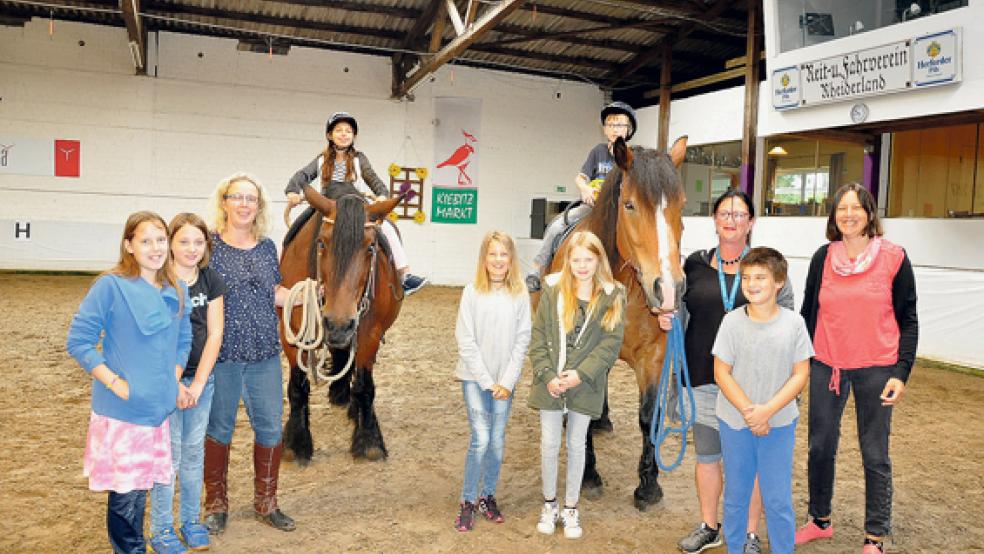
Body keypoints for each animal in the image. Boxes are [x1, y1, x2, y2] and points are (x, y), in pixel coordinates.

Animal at [276, 189, 404, 462]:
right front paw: (296, 442)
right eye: (322, 243)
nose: (338, 324)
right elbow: (296, 387)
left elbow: (365, 386)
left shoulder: (369, 335)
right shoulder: (290, 333)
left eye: (371, 247)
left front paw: (369, 440)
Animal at [536, 135, 688, 508]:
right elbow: (582, 414)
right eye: (630, 205)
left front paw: (649, 485)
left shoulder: (653, 357)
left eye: (681, 206)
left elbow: (649, 417)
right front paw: (588, 476)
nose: (668, 289)